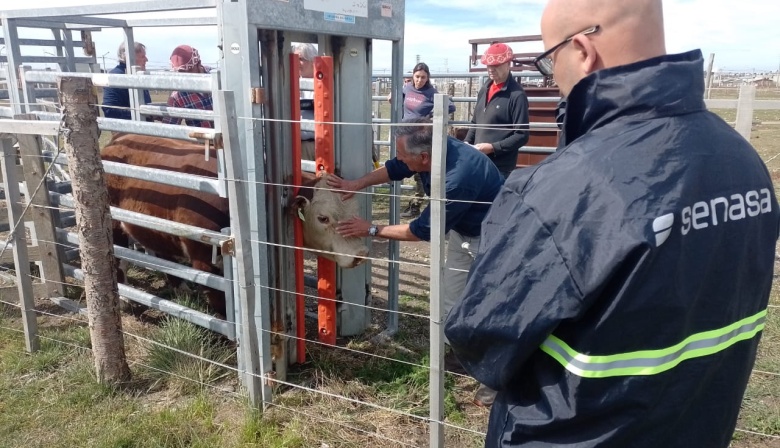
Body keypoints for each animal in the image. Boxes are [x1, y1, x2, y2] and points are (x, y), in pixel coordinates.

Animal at [103, 135, 368, 314]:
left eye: (356, 212)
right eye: (323, 218)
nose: (360, 254)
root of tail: (117, 140)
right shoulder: (204, 259)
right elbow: (219, 300)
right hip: (113, 226)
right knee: (117, 260)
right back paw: (124, 298)